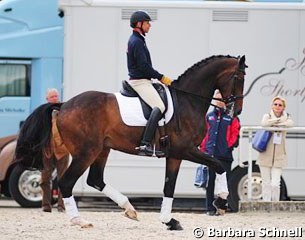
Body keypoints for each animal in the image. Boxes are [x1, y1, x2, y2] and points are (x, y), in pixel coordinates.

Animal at [14, 55, 247, 230]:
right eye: (238, 77)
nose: (236, 111)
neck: (188, 101)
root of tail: (63, 106)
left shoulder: (175, 154)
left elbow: (169, 186)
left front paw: (169, 221)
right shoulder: (186, 150)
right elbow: (218, 165)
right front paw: (221, 201)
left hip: (102, 149)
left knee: (95, 179)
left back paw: (129, 209)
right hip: (86, 152)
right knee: (66, 182)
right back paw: (79, 220)